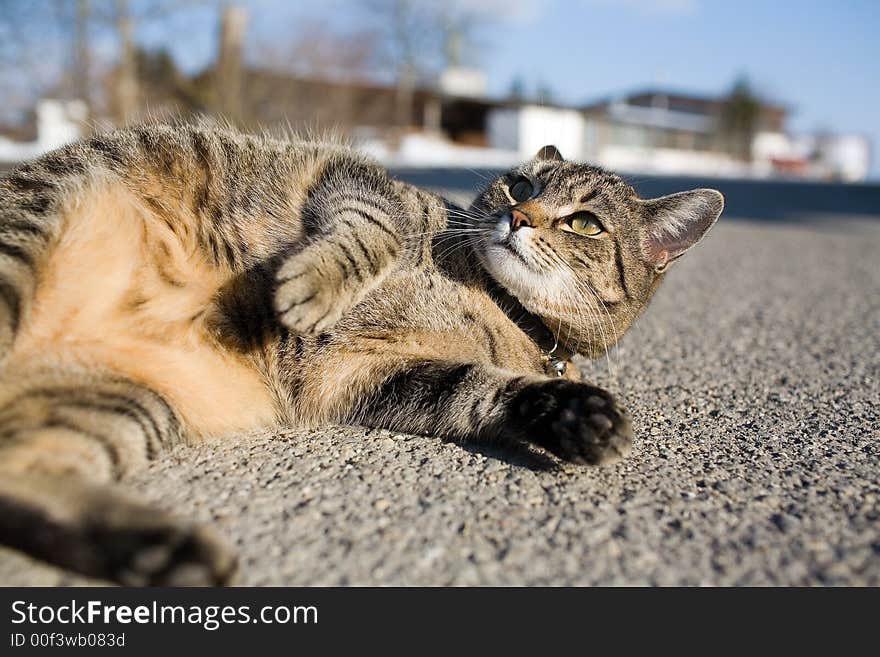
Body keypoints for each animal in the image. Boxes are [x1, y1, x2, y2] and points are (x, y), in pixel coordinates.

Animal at [0, 124, 720, 584]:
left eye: (585, 223)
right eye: (519, 186)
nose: (519, 217)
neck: (498, 303)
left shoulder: (372, 379)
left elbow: (484, 391)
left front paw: (577, 417)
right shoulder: (360, 182)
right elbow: (371, 231)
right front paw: (310, 288)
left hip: (125, 404)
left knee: (20, 479)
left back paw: (165, 549)